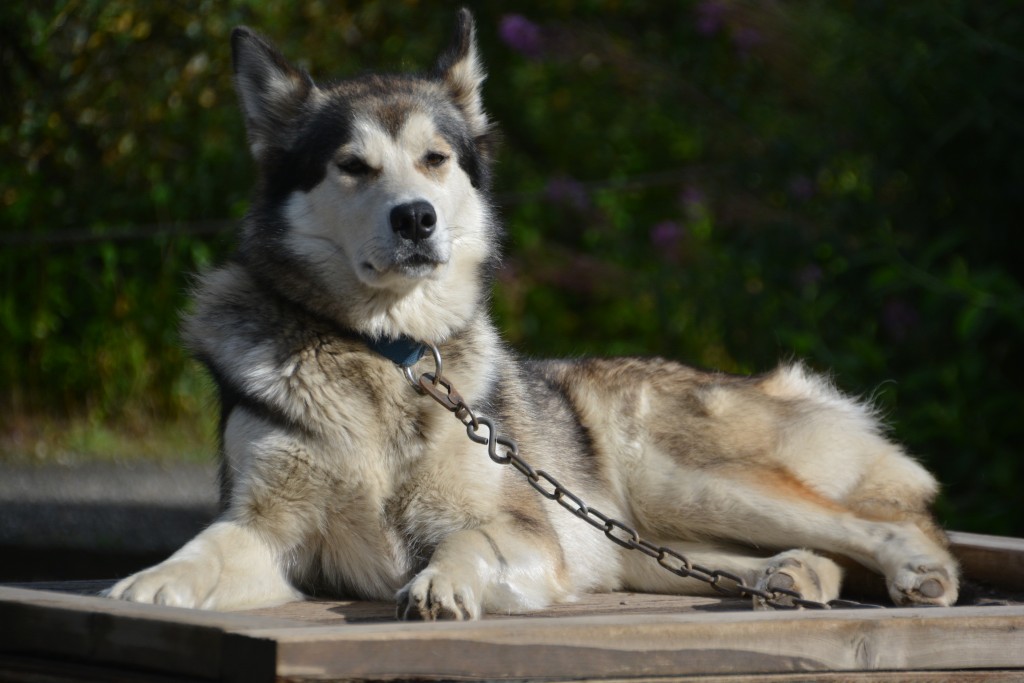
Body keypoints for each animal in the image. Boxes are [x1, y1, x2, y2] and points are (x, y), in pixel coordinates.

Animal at [108, 9, 962, 618]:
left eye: (435, 159)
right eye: (352, 166)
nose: (416, 218)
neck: (389, 352)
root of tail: (778, 383)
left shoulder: (527, 530)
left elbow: (469, 542)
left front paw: (441, 582)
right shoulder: (265, 530)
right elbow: (201, 551)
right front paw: (144, 583)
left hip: (690, 483)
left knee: (893, 525)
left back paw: (918, 571)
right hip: (645, 537)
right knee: (785, 556)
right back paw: (795, 575)